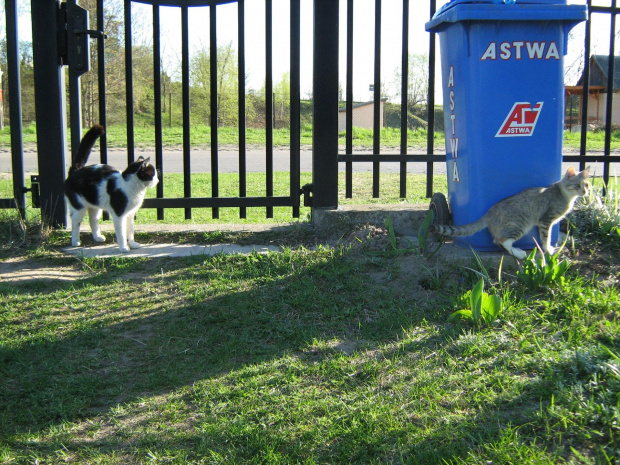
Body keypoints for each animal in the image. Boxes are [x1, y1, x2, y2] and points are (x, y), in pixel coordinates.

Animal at [428, 165, 588, 260]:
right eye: (577, 185)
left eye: (587, 185)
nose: (585, 191)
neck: (566, 195)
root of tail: (489, 213)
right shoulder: (545, 220)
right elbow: (546, 237)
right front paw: (548, 249)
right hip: (519, 224)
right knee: (502, 240)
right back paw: (519, 252)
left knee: (497, 240)